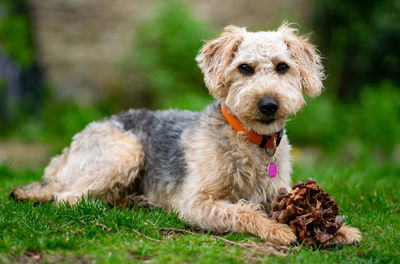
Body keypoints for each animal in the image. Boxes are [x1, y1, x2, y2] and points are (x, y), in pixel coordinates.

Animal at [10, 23, 362, 246]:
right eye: (245, 68)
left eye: (282, 67)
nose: (268, 104)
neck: (249, 141)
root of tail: (67, 152)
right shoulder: (195, 202)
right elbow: (242, 211)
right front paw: (275, 229)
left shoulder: (278, 192)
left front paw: (341, 230)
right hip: (126, 152)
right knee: (68, 199)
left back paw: (136, 201)